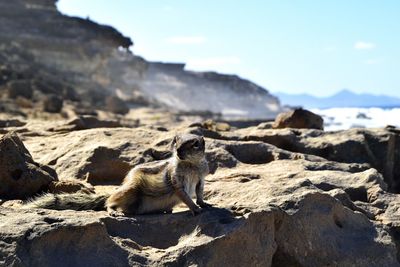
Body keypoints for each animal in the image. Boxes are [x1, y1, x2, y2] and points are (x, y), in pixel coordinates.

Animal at [24, 133, 212, 217]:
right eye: (176, 141)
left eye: (195, 144)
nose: (178, 150)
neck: (192, 165)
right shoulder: (176, 179)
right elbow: (184, 195)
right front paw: (196, 209)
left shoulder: (201, 178)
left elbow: (200, 192)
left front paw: (204, 204)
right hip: (130, 190)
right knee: (109, 202)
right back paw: (113, 211)